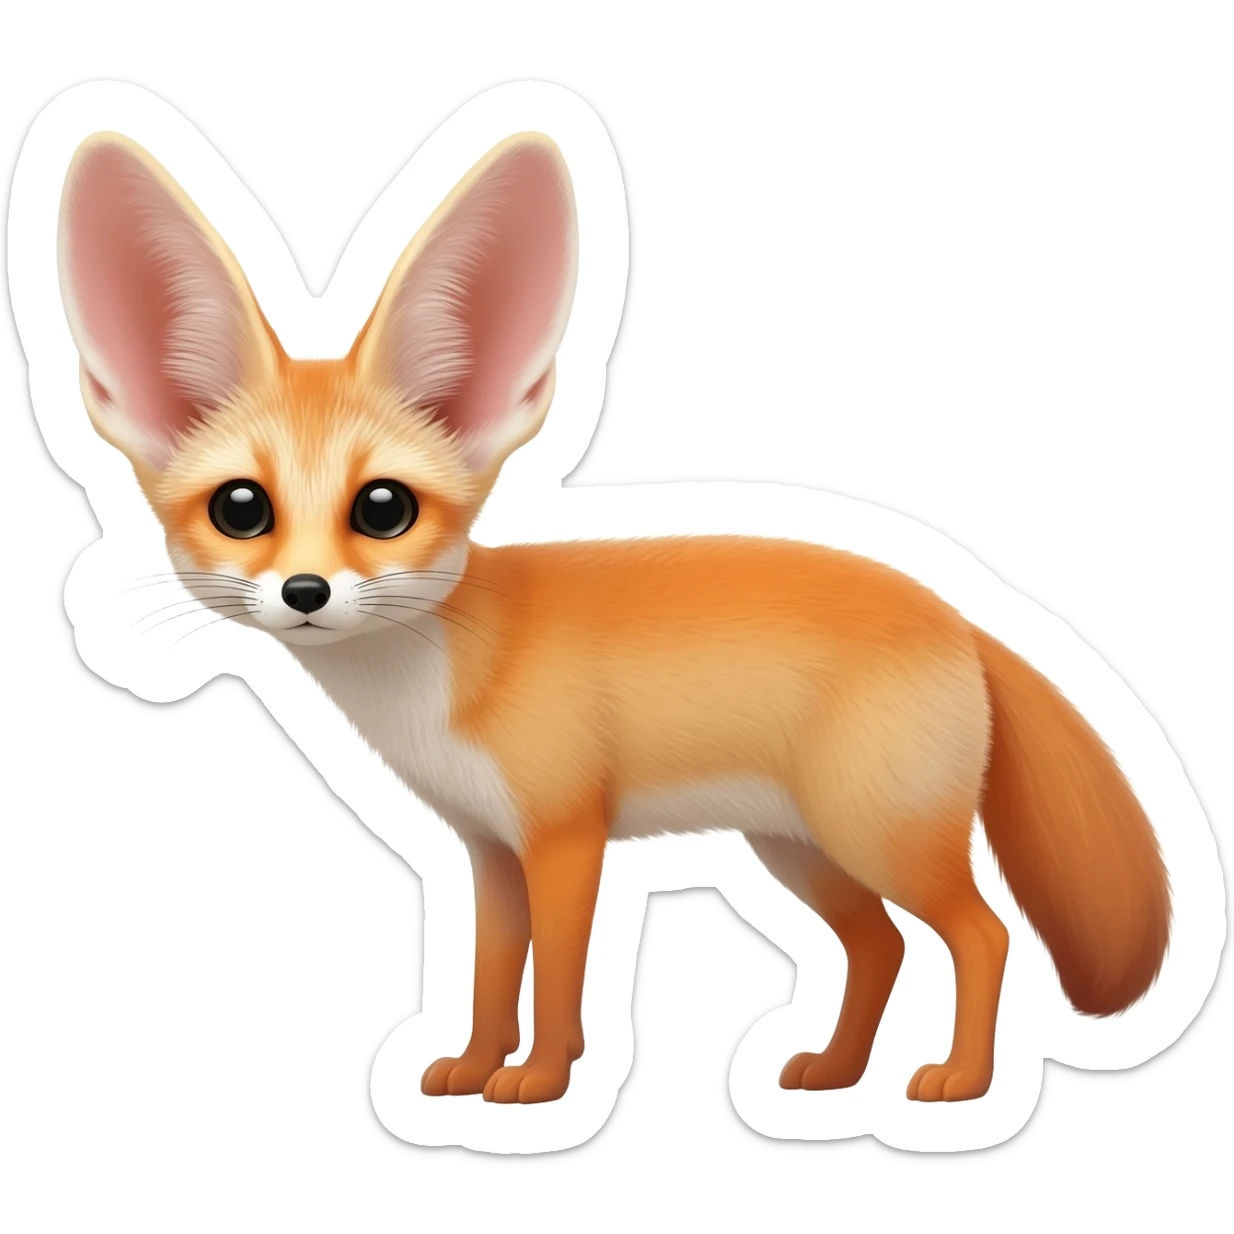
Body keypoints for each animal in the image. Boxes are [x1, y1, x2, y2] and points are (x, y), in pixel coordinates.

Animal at [54, 128, 1171, 1107]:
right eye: (243, 509)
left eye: (383, 509)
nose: (306, 593)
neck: (441, 679)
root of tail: (959, 611)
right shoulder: (487, 850)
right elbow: (489, 978)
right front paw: (472, 1067)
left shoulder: (563, 836)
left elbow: (557, 983)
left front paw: (541, 1083)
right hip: (800, 848)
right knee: (881, 944)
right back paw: (835, 1071)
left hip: (877, 836)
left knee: (982, 937)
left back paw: (959, 1083)